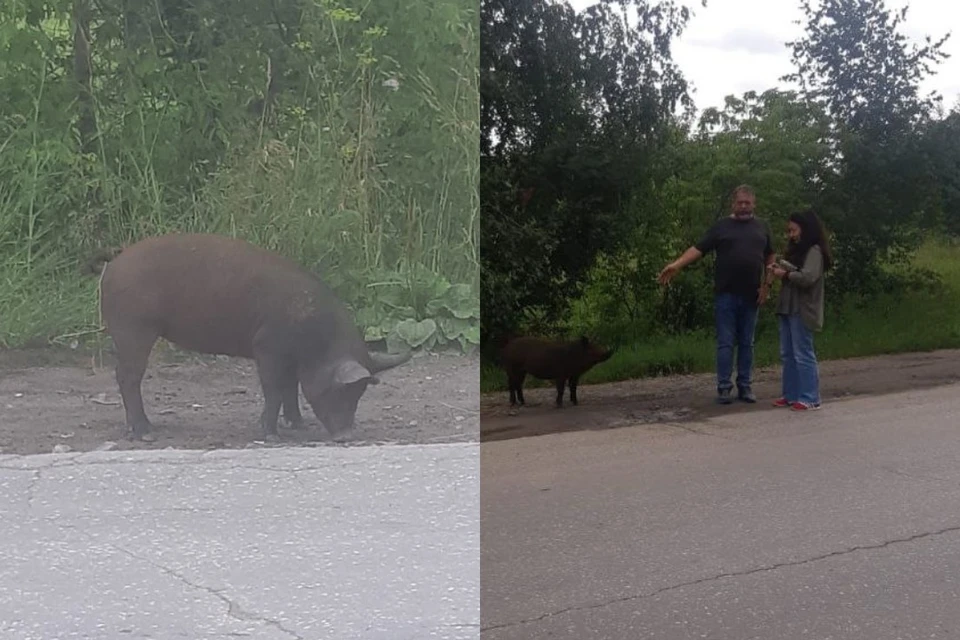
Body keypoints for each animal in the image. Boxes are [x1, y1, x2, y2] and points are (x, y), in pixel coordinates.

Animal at [85, 232, 408, 442]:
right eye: (344, 390)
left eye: (361, 393)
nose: (346, 436)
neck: (317, 341)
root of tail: (115, 263)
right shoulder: (267, 347)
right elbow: (274, 390)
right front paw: (272, 436)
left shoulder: (290, 359)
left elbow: (291, 388)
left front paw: (298, 426)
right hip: (133, 328)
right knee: (127, 377)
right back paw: (146, 433)